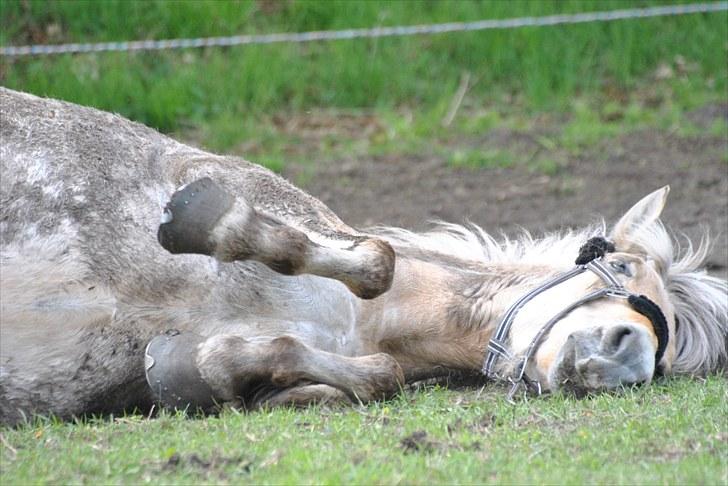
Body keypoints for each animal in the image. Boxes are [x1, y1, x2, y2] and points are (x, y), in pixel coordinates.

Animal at [0, 88, 724, 426]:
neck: (368, 321)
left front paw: (192, 368)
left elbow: (369, 376)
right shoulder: (210, 175)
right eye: (622, 267)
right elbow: (375, 258)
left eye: (662, 362)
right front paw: (209, 221)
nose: (628, 355)